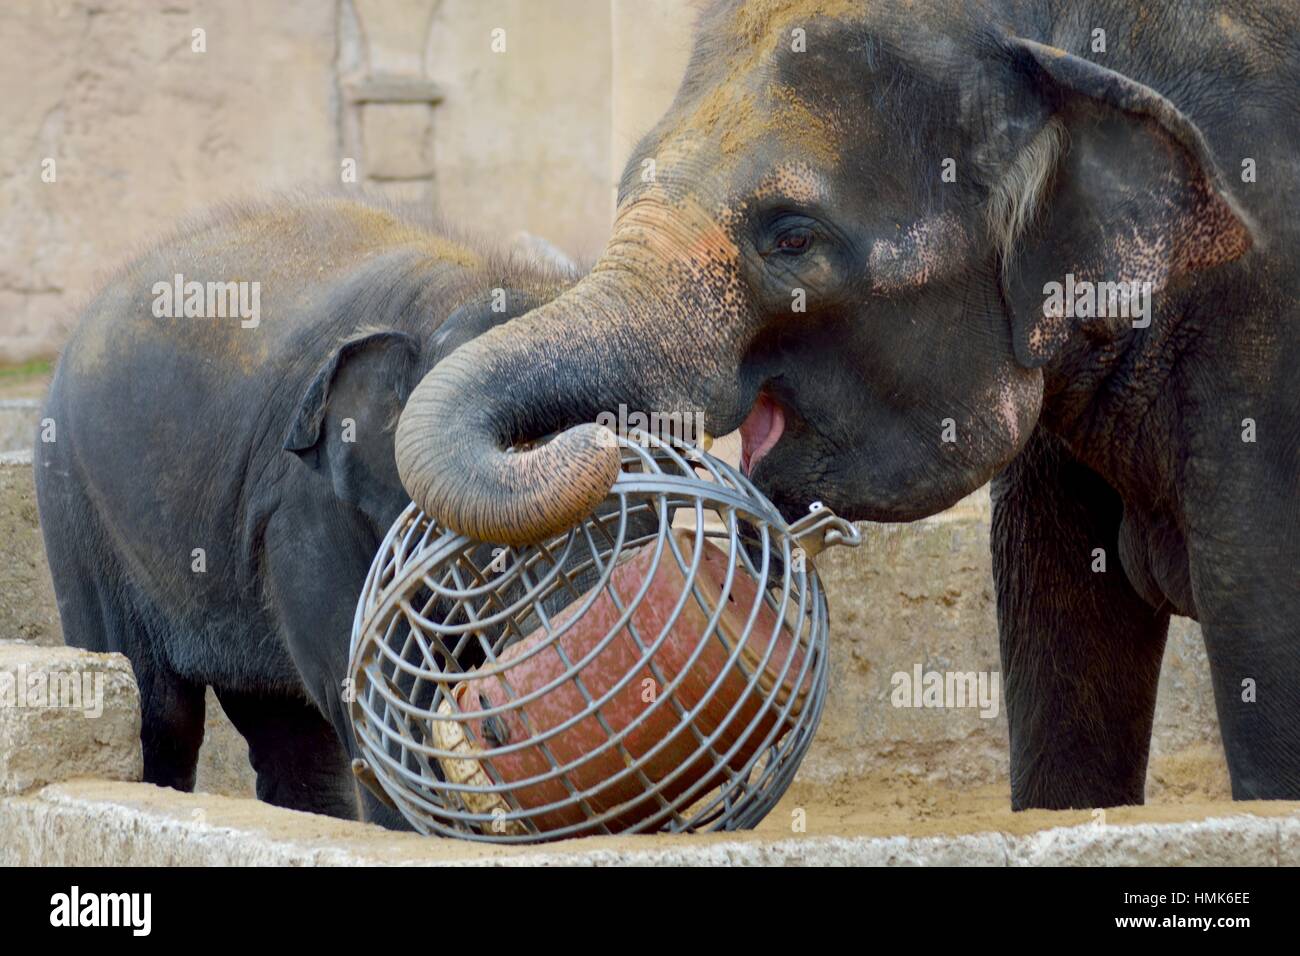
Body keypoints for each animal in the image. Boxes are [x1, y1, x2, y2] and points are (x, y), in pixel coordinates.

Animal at [34, 197, 579, 827]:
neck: (456, 289)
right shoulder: (303, 512)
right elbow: (383, 704)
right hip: (79, 511)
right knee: (158, 717)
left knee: (287, 735)